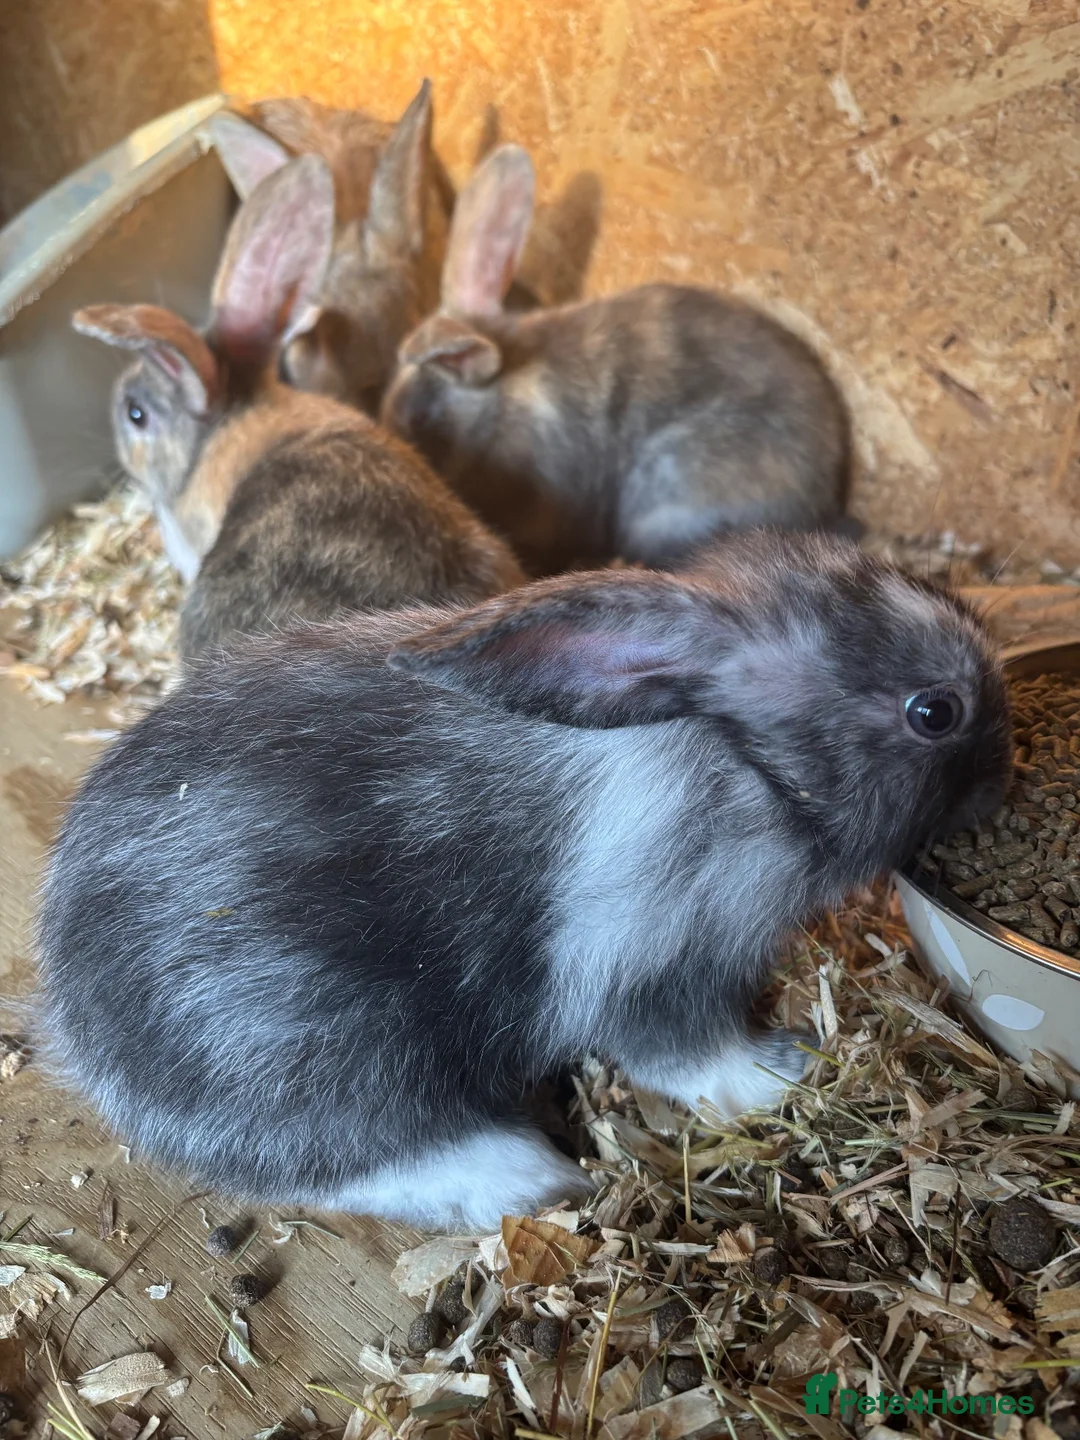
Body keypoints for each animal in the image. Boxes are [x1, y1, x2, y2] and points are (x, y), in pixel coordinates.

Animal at [36, 530, 1011, 1233]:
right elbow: (691, 1055)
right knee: (343, 1158)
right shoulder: (651, 962)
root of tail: (82, 1031)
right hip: (311, 1037)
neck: (745, 763)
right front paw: (788, 1074)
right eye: (935, 712)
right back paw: (525, 1176)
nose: (1004, 782)